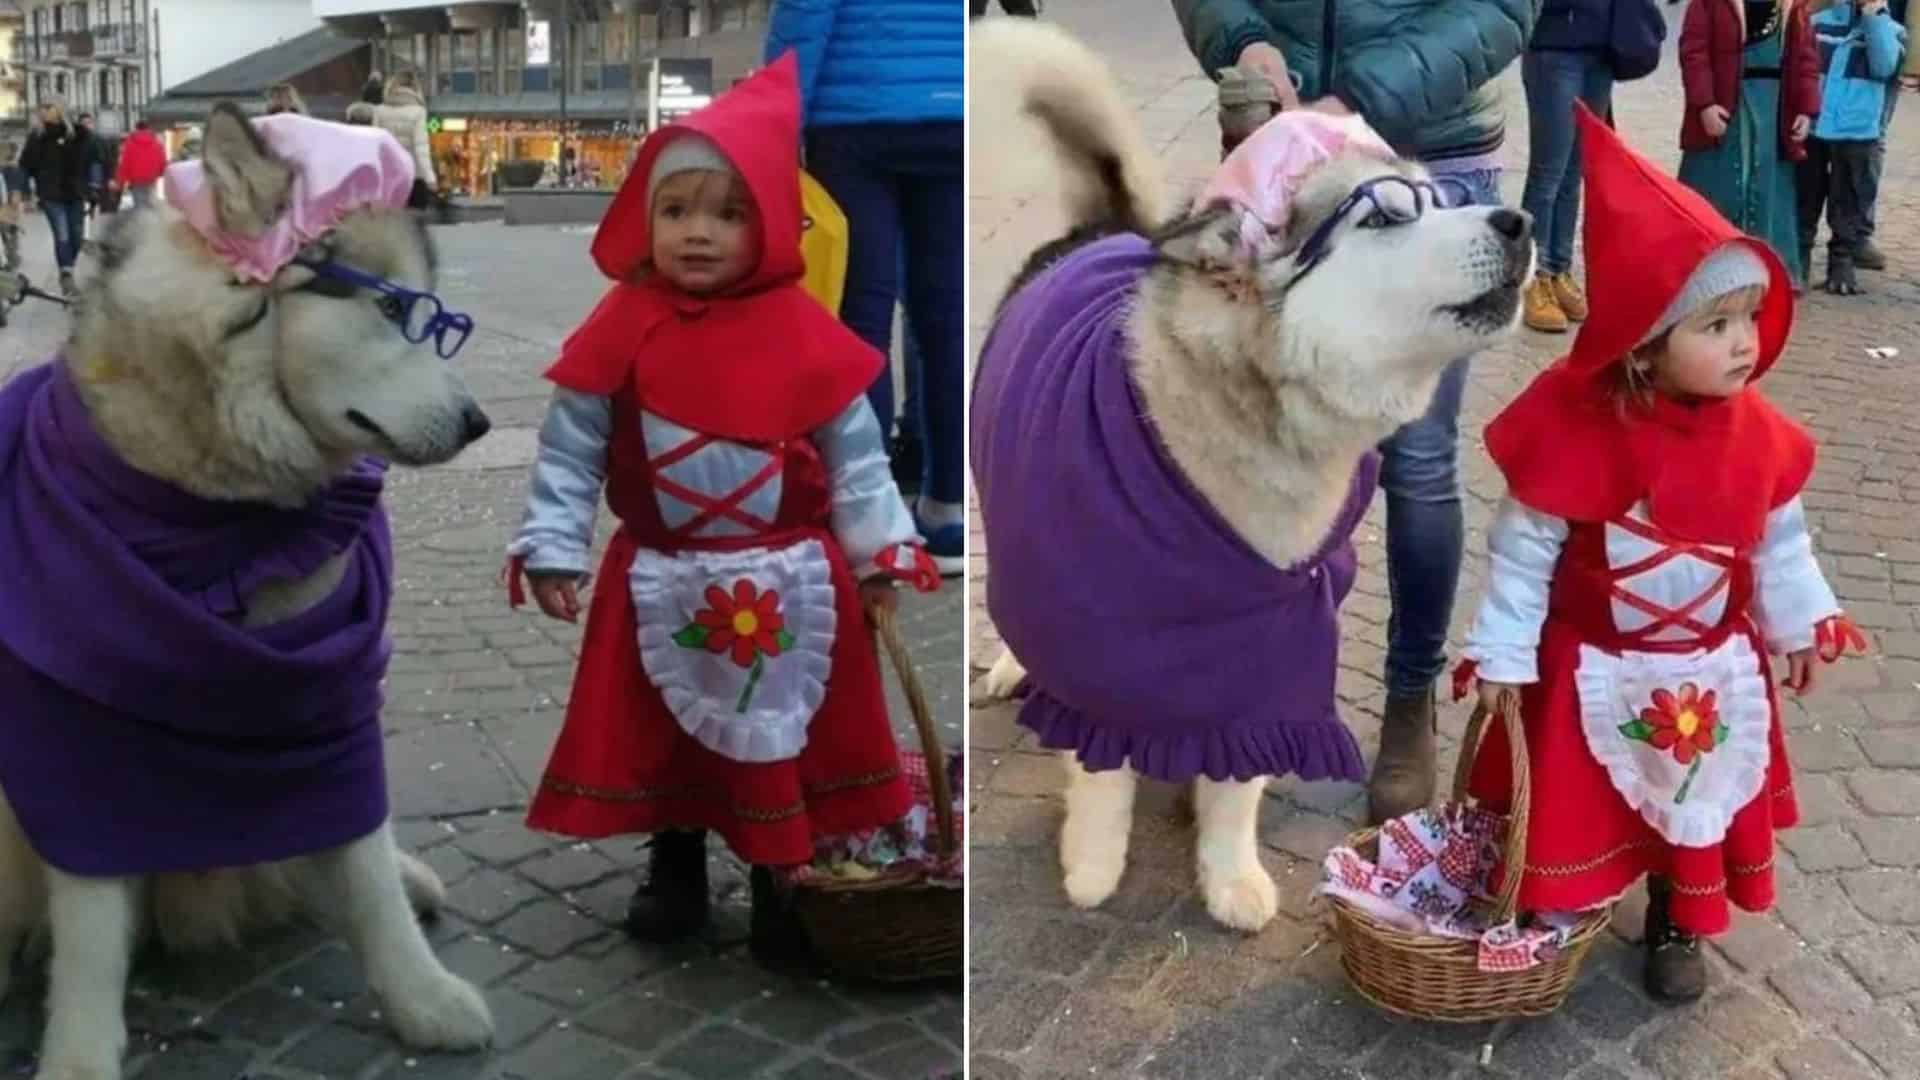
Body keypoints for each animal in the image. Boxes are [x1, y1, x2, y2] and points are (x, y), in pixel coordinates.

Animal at [0, 102, 495, 1076]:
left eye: (436, 318)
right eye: (392, 307)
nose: (479, 422)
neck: (215, 508)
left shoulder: (328, 694)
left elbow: (363, 856)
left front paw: (420, 997)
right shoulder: (75, 731)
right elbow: (91, 923)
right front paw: (78, 1054)